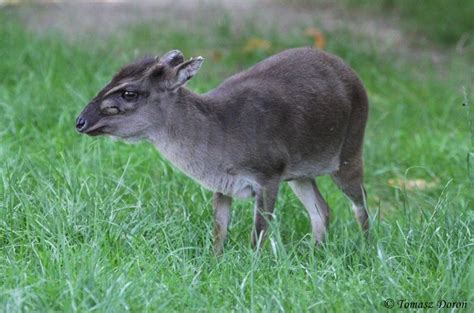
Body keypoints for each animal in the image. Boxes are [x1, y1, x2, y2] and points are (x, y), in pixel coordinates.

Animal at [75, 48, 370, 254]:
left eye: (129, 93)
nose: (80, 121)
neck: (221, 136)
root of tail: (355, 77)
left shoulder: (268, 173)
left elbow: (259, 232)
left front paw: (253, 266)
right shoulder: (222, 183)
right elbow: (219, 230)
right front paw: (215, 261)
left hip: (350, 149)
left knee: (360, 203)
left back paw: (367, 251)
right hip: (300, 173)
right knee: (322, 209)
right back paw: (315, 255)